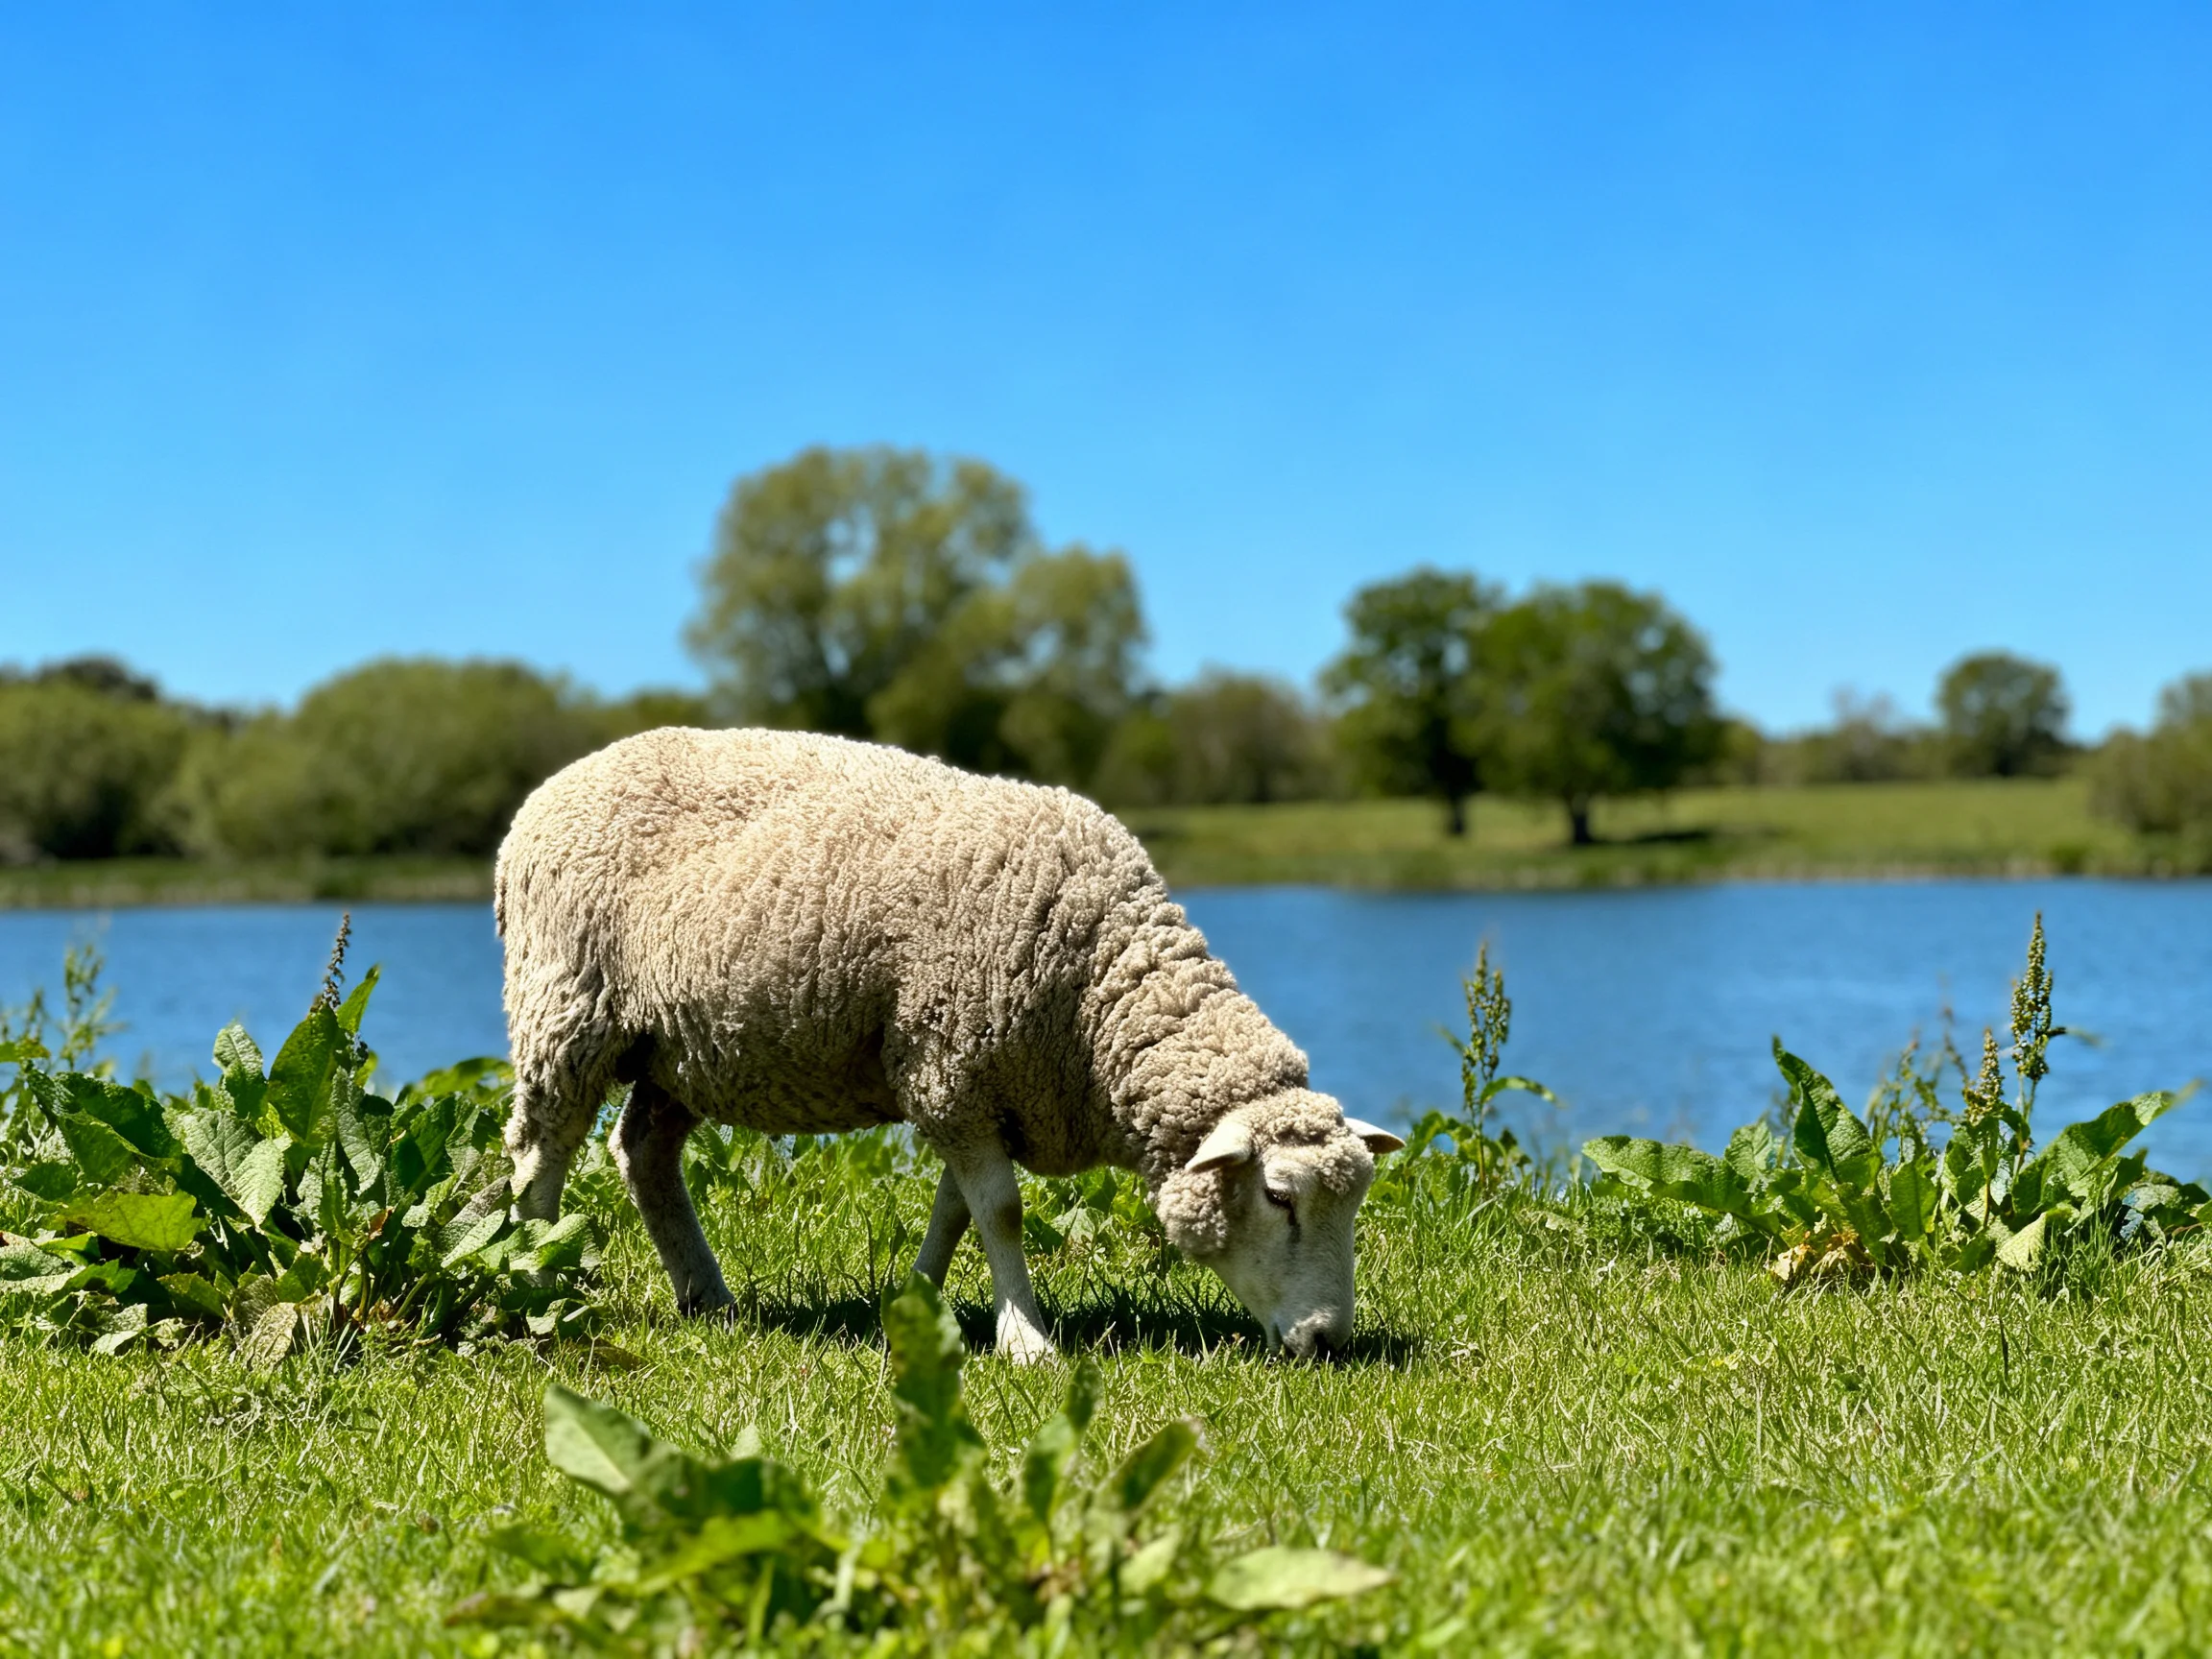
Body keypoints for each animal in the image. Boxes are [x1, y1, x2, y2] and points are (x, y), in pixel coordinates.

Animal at [494, 727, 1403, 1360]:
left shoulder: (970, 1082)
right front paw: (1027, 1343)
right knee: (542, 1151)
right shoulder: (949, 1065)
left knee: (641, 1150)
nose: (1328, 1342)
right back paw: (530, 1278)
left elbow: (956, 1211)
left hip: (683, 1047)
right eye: (1280, 1197)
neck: (1095, 987)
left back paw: (705, 1295)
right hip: (566, 1003)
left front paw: (917, 1304)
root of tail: (548, 792)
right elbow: (1000, 1212)